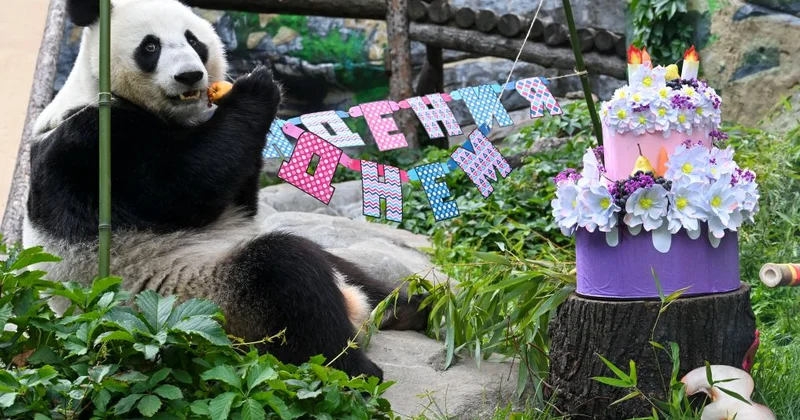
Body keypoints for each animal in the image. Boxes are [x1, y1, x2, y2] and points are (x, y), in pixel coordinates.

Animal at [24, 0, 428, 381]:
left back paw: (413, 309)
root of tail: (355, 310)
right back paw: (354, 368)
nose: (190, 75)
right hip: (198, 307)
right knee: (286, 274)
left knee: (346, 269)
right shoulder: (93, 143)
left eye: (193, 40)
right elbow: (180, 188)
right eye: (150, 46)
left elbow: (232, 196)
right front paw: (258, 85)